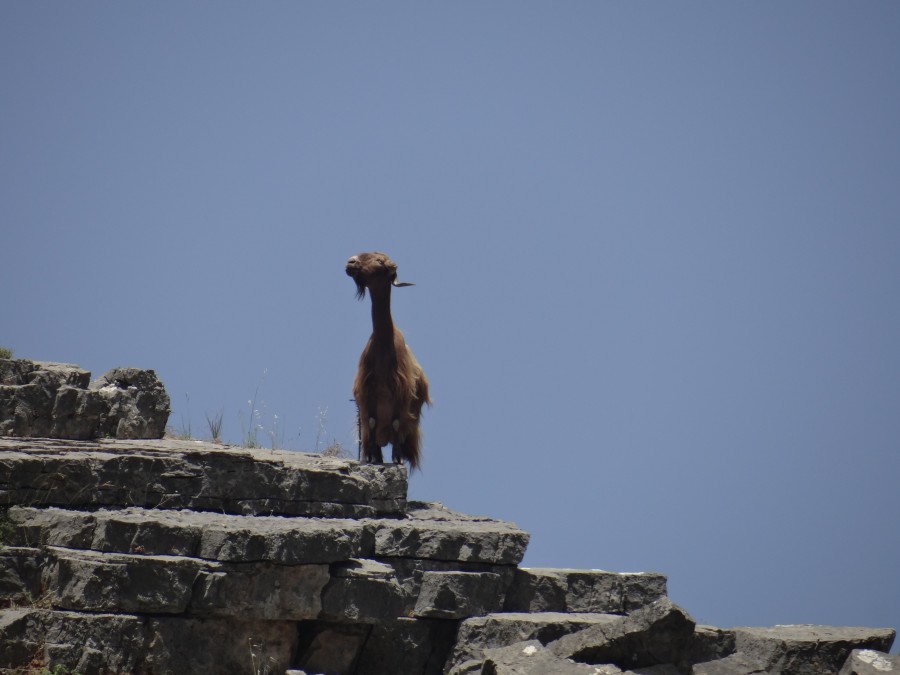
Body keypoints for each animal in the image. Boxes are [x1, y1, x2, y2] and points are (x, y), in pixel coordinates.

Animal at [346, 254, 430, 470]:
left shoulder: (401, 396)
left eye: (379, 261)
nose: (351, 262)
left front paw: (397, 459)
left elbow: (396, 424)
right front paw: (371, 457)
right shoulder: (367, 397)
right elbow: (371, 423)